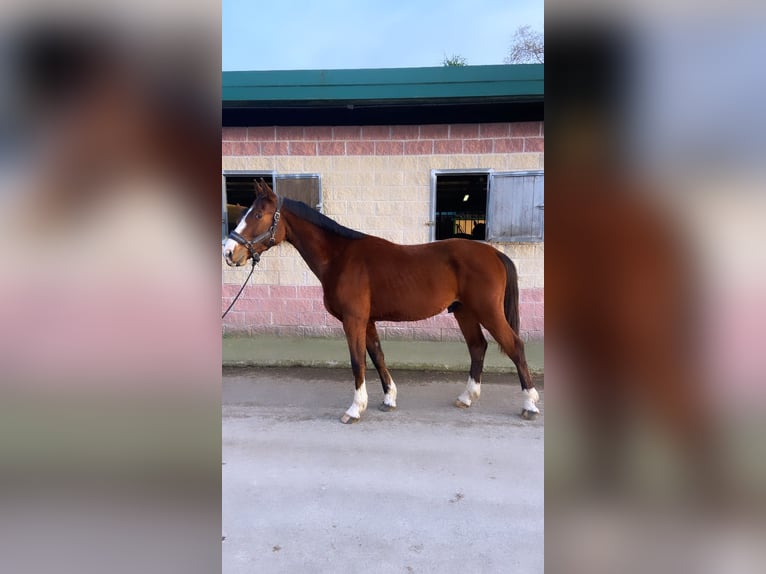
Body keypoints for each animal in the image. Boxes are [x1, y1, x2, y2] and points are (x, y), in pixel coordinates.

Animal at [225, 182, 544, 426]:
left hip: (488, 312)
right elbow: (377, 356)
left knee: (515, 346)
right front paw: (388, 399)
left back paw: (529, 404)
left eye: (258, 214)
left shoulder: (353, 319)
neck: (340, 257)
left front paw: (355, 409)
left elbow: (358, 361)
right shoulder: (367, 320)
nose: (230, 252)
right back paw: (467, 397)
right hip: (464, 312)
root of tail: (494, 253)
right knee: (478, 347)